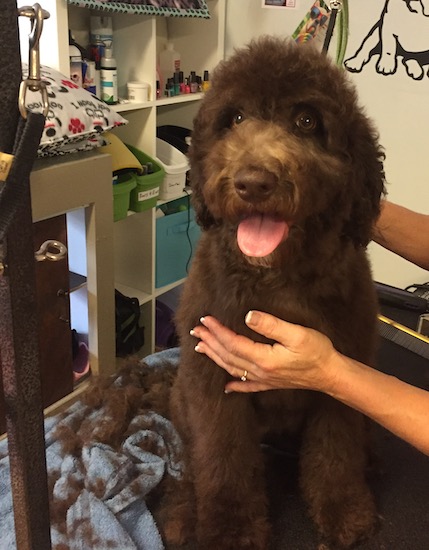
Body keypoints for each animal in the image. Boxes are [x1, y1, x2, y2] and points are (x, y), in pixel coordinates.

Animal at [167, 37, 384, 550]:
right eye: (235, 117)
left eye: (306, 120)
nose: (253, 183)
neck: (276, 278)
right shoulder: (213, 380)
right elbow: (223, 457)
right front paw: (230, 529)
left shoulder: (341, 373)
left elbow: (336, 451)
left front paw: (344, 513)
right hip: (182, 396)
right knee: (191, 459)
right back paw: (185, 514)